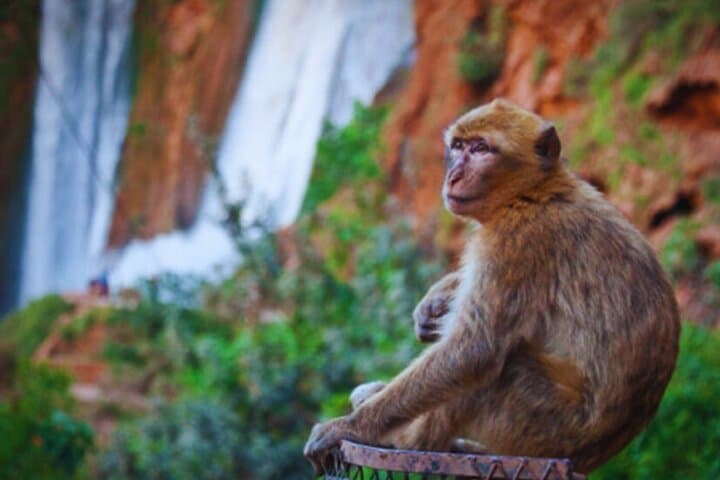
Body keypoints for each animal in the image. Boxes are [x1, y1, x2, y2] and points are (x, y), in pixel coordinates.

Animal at [304, 98, 680, 475]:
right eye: (458, 146)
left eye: (482, 148)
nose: (453, 175)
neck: (534, 191)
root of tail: (588, 458)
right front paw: (436, 299)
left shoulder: (516, 238)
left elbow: (473, 351)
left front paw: (349, 427)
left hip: (545, 425)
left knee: (497, 369)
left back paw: (407, 439)